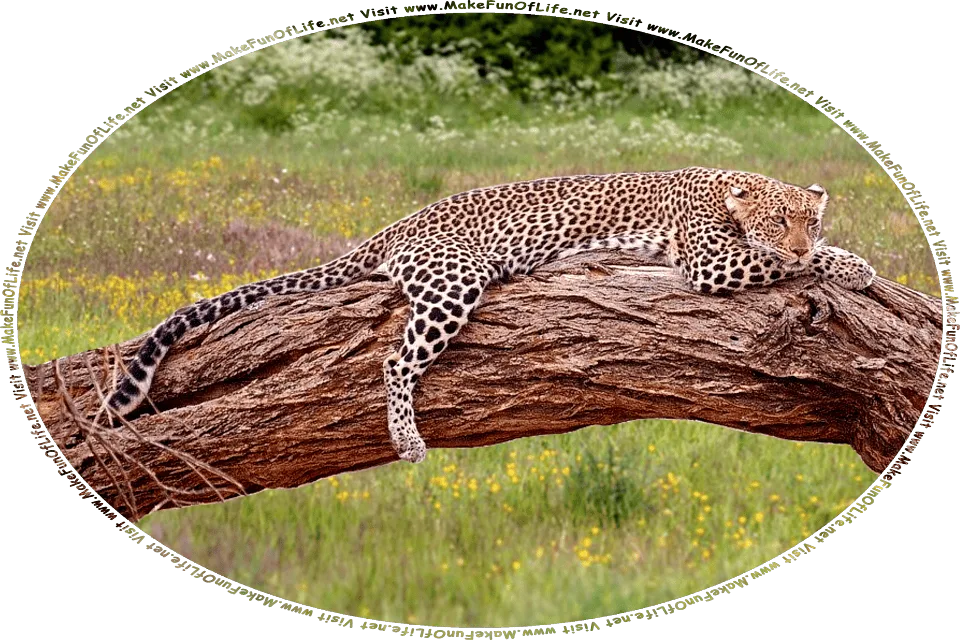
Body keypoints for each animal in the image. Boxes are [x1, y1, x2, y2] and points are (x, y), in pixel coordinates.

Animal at [105, 166, 876, 463]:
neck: (726, 189)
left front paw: (849, 259)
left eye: (807, 218)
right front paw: (845, 265)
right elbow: (786, 265)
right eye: (779, 222)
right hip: (455, 280)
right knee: (395, 359)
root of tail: (397, 226)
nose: (801, 236)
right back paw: (408, 441)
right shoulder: (710, 261)